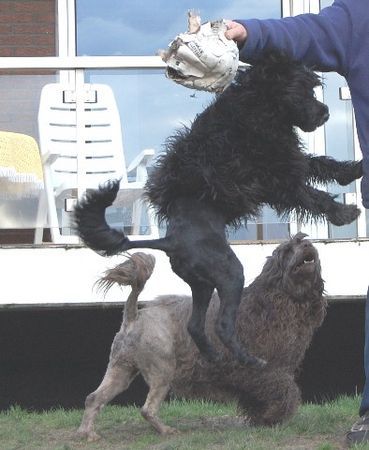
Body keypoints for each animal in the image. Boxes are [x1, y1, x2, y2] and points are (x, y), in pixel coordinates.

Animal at [77, 234, 324, 442]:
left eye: (303, 240)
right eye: (288, 249)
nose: (307, 245)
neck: (277, 299)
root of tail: (134, 316)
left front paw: (262, 419)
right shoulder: (262, 368)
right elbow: (286, 389)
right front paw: (274, 415)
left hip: (121, 370)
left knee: (93, 398)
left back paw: (87, 433)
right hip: (162, 370)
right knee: (147, 409)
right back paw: (165, 430)